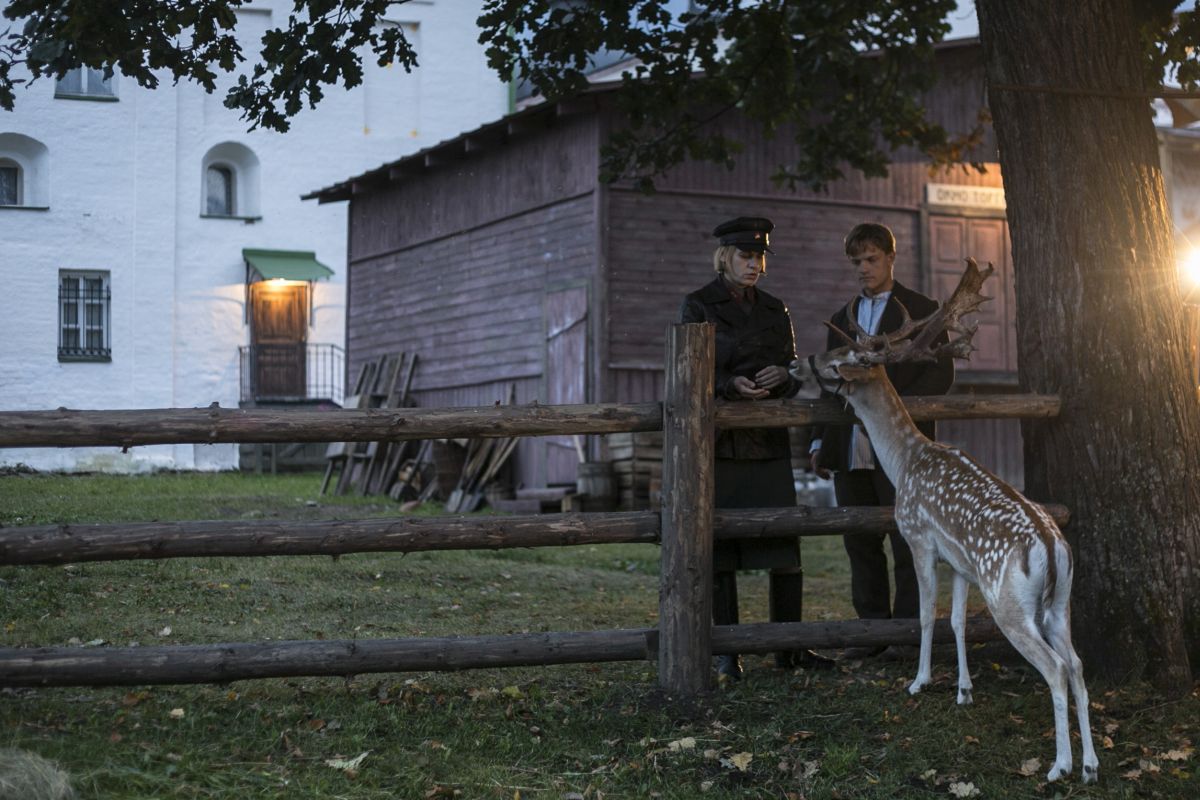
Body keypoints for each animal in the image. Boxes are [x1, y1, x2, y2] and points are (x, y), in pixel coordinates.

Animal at [792, 260, 1099, 786]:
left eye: (840, 359)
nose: (801, 360)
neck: (905, 461)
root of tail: (1048, 543)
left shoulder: (918, 538)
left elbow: (922, 614)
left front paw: (919, 681)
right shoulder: (960, 563)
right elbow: (955, 619)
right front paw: (963, 690)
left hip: (1009, 602)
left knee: (1057, 668)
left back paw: (1059, 766)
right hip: (1059, 602)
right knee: (1078, 665)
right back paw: (1091, 766)